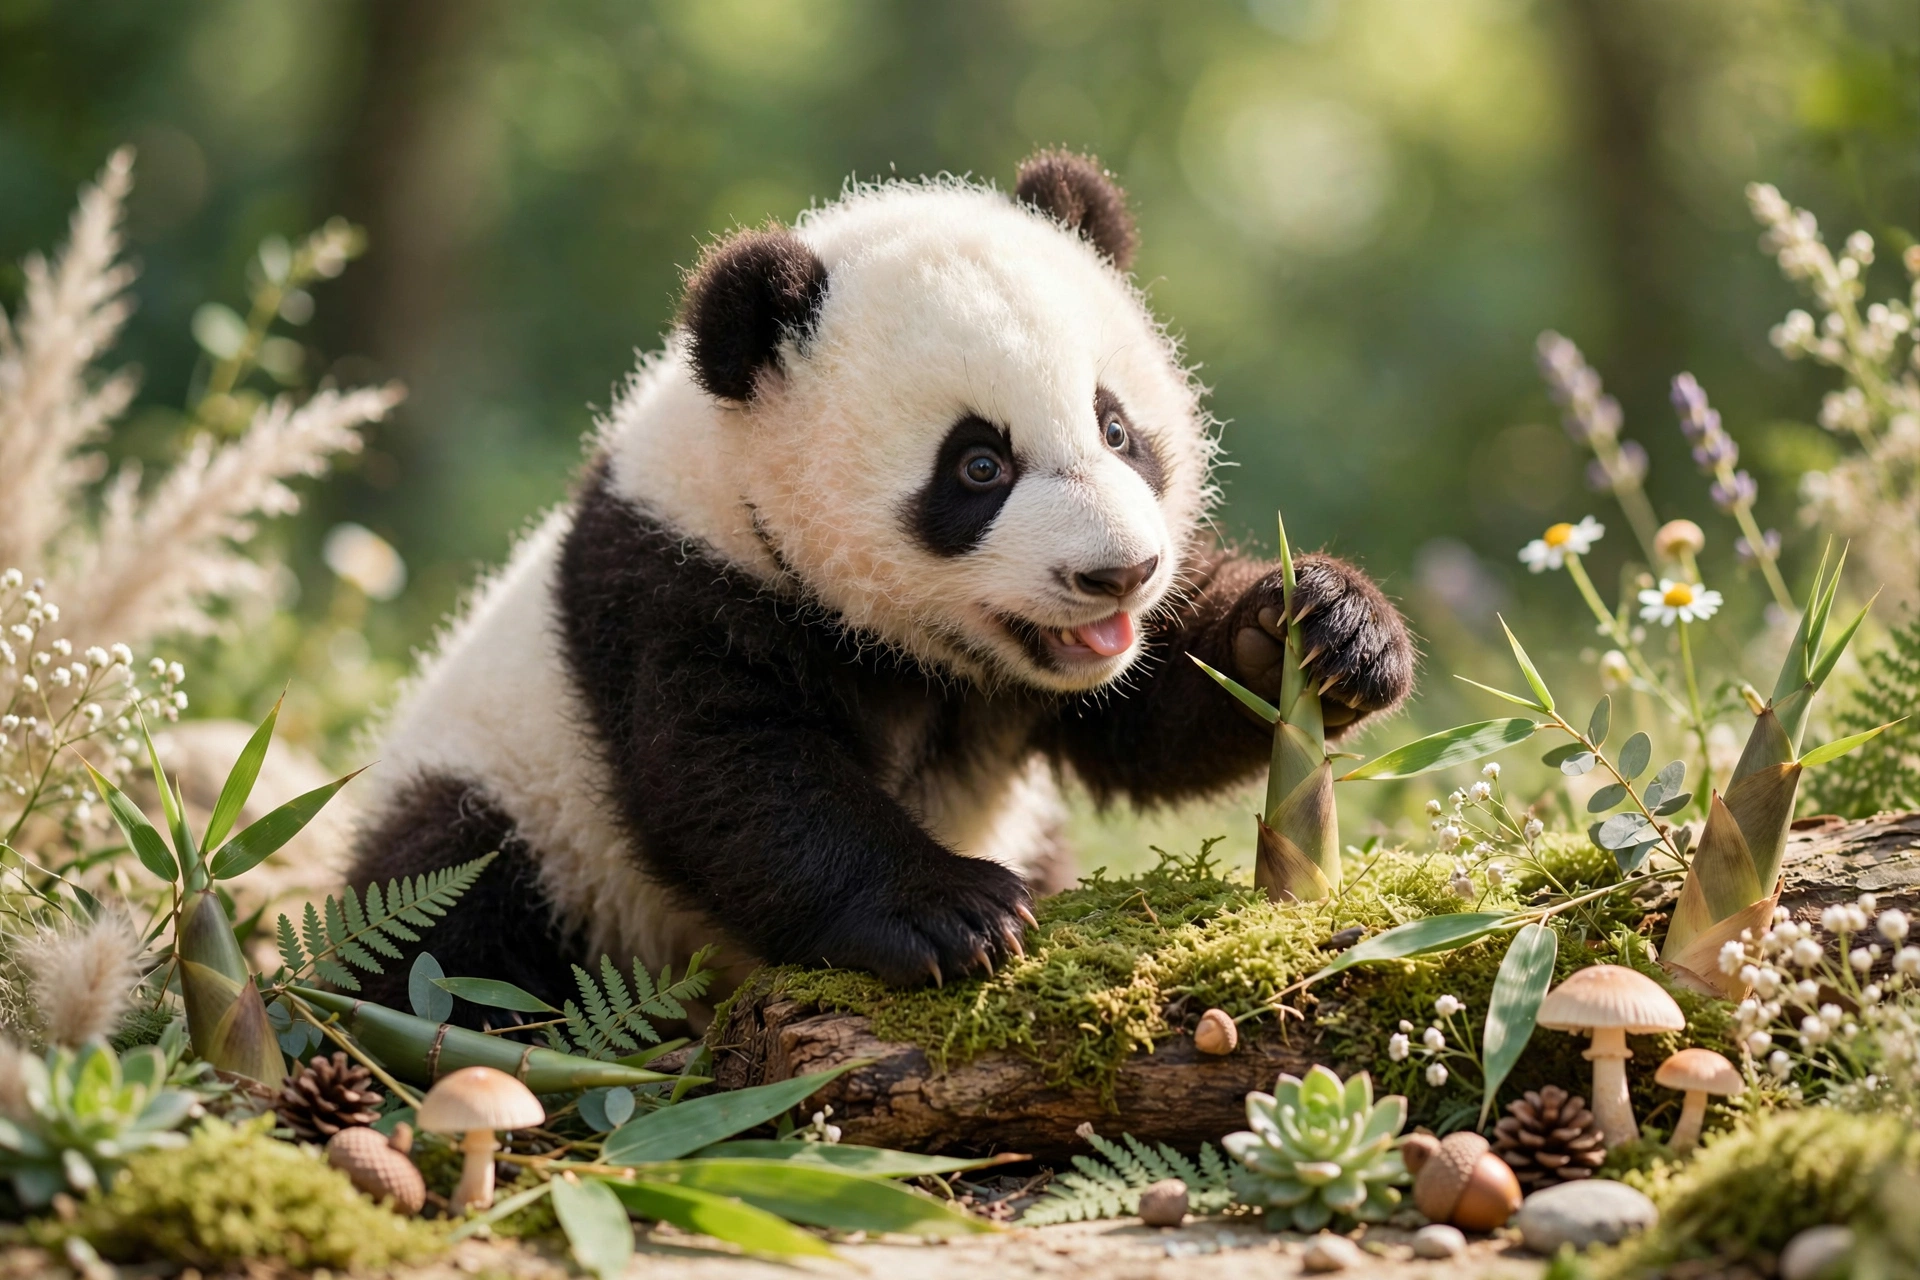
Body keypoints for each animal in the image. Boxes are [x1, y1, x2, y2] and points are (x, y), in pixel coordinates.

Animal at [347, 150, 1415, 1021]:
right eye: (978, 466)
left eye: (1117, 430)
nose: (1117, 573)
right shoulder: (673, 585)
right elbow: (733, 777)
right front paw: (953, 914)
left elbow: (1152, 715)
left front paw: (1323, 628)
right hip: (522, 816)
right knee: (448, 921)